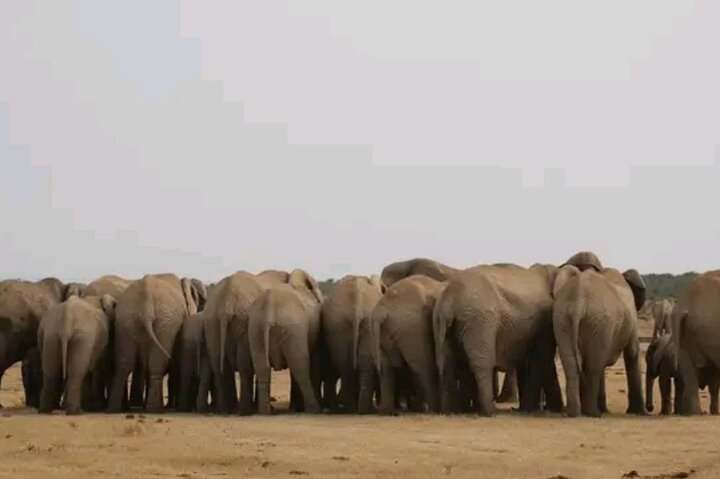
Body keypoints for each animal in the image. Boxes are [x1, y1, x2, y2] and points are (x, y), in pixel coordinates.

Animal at [107, 274, 207, 413]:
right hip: (165, 322)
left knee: (124, 362)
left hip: (125, 320)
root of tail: (146, 302)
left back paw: (114, 408)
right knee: (157, 362)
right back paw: (155, 409)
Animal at [249, 269, 324, 415]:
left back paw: (265, 412)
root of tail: (269, 305)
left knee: (262, 367)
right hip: (293, 327)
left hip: (255, 328)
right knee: (300, 366)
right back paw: (315, 410)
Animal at [371, 274, 444, 415]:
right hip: (412, 328)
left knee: (386, 370)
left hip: (385, 333)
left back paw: (387, 411)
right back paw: (432, 410)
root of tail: (381, 311)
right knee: (423, 368)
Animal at [432, 262, 568, 416]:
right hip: (479, 320)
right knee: (482, 363)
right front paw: (529, 409)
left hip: (441, 321)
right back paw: (489, 412)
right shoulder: (546, 321)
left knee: (446, 363)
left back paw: (448, 412)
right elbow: (543, 357)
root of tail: (449, 298)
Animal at [552, 265, 647, 417]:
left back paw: (574, 412)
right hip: (600, 320)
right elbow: (632, 353)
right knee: (594, 366)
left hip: (562, 318)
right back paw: (593, 413)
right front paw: (639, 412)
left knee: (572, 364)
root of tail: (579, 300)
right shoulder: (632, 314)